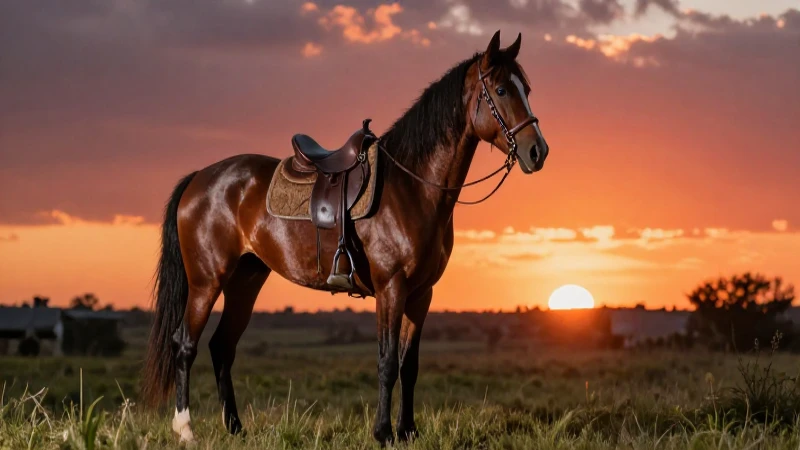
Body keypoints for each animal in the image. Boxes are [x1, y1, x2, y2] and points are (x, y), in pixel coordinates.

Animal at [141, 30, 549, 445]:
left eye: (526, 88)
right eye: (501, 89)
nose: (538, 152)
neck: (413, 186)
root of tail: (199, 178)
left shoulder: (421, 294)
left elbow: (410, 365)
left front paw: (408, 431)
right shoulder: (391, 288)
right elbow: (387, 362)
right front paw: (383, 433)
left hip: (245, 280)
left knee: (222, 346)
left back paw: (236, 428)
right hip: (206, 282)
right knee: (185, 344)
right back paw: (186, 430)